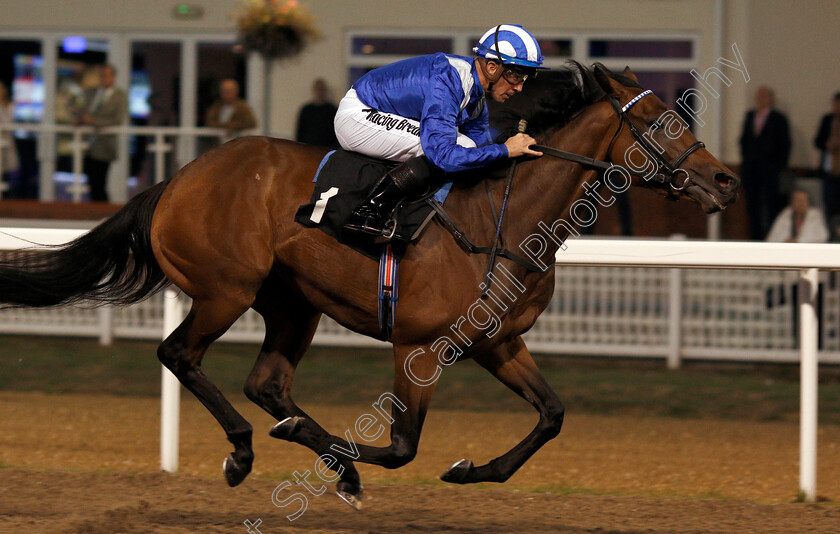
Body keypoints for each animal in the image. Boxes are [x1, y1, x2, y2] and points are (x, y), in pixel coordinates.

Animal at [0, 62, 736, 510]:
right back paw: (246, 451)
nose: (725, 180)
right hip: (225, 289)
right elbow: (404, 446)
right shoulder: (419, 345)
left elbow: (551, 415)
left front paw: (471, 470)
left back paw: (303, 438)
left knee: (268, 383)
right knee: (180, 354)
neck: (502, 218)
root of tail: (178, 178)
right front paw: (358, 464)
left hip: (292, 304)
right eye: (665, 123)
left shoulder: (497, 343)